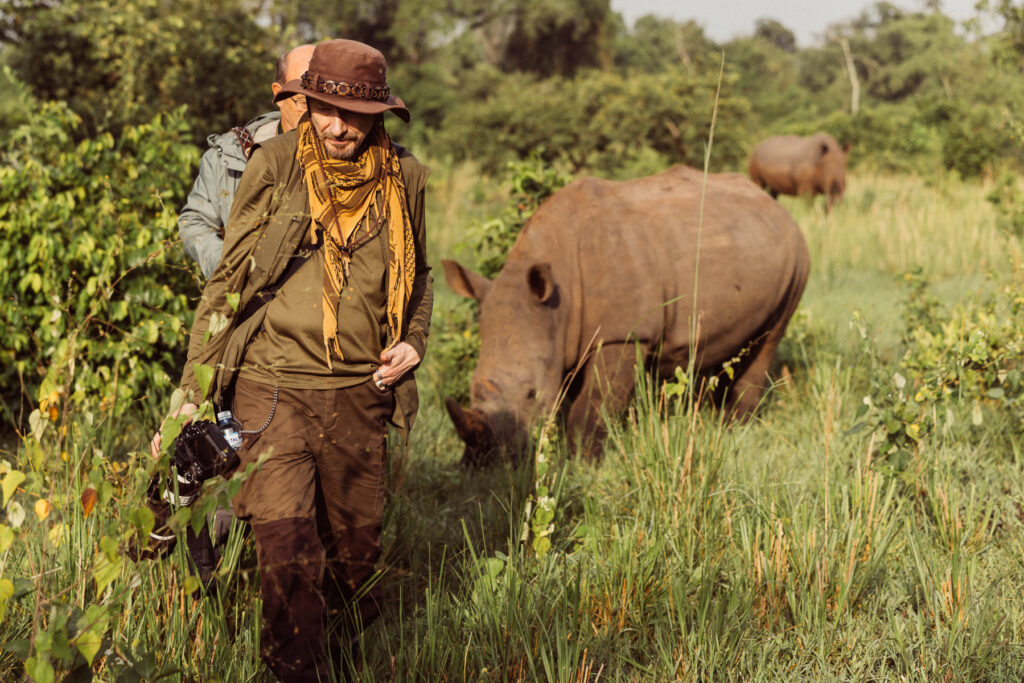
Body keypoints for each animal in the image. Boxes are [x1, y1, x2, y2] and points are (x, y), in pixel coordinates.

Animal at [443, 165, 810, 465]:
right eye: (472, 388)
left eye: (531, 394)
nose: (486, 463)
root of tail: (778, 209)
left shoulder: (623, 334)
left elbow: (595, 401)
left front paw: (580, 463)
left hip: (798, 257)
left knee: (769, 338)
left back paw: (734, 429)